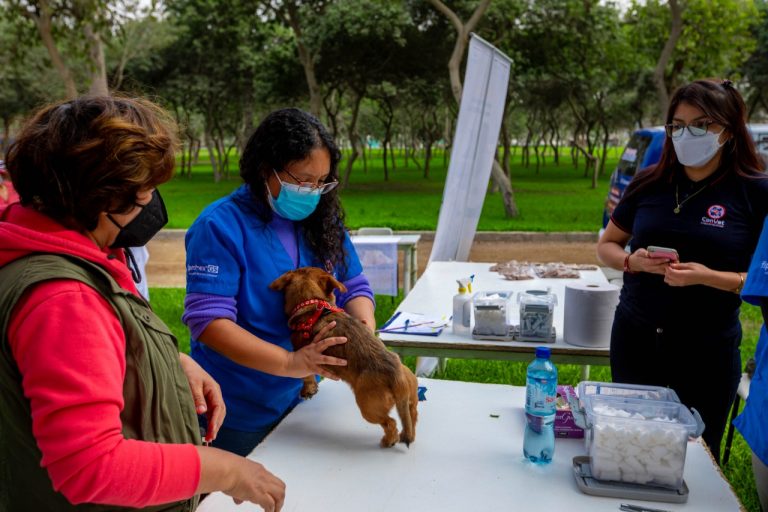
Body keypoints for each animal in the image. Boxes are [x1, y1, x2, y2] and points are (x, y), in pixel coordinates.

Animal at [268, 266, 416, 446]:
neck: (313, 303)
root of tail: (397, 377)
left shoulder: (303, 354)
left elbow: (306, 376)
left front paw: (308, 389)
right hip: (410, 396)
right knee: (412, 415)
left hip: (368, 407)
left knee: (390, 422)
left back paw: (389, 440)